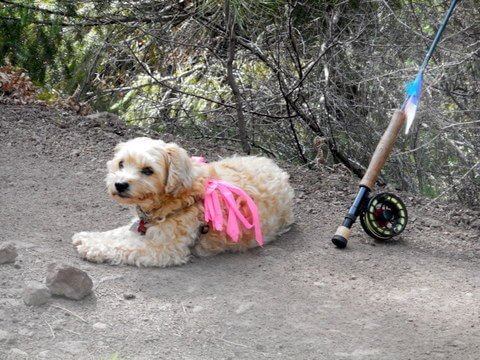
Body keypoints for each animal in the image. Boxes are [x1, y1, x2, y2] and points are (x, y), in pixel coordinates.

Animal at [72, 138, 294, 268]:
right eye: (121, 163)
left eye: (148, 170)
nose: (119, 184)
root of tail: (278, 170)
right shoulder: (140, 228)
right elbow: (116, 234)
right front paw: (89, 237)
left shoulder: (164, 249)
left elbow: (124, 246)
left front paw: (93, 248)